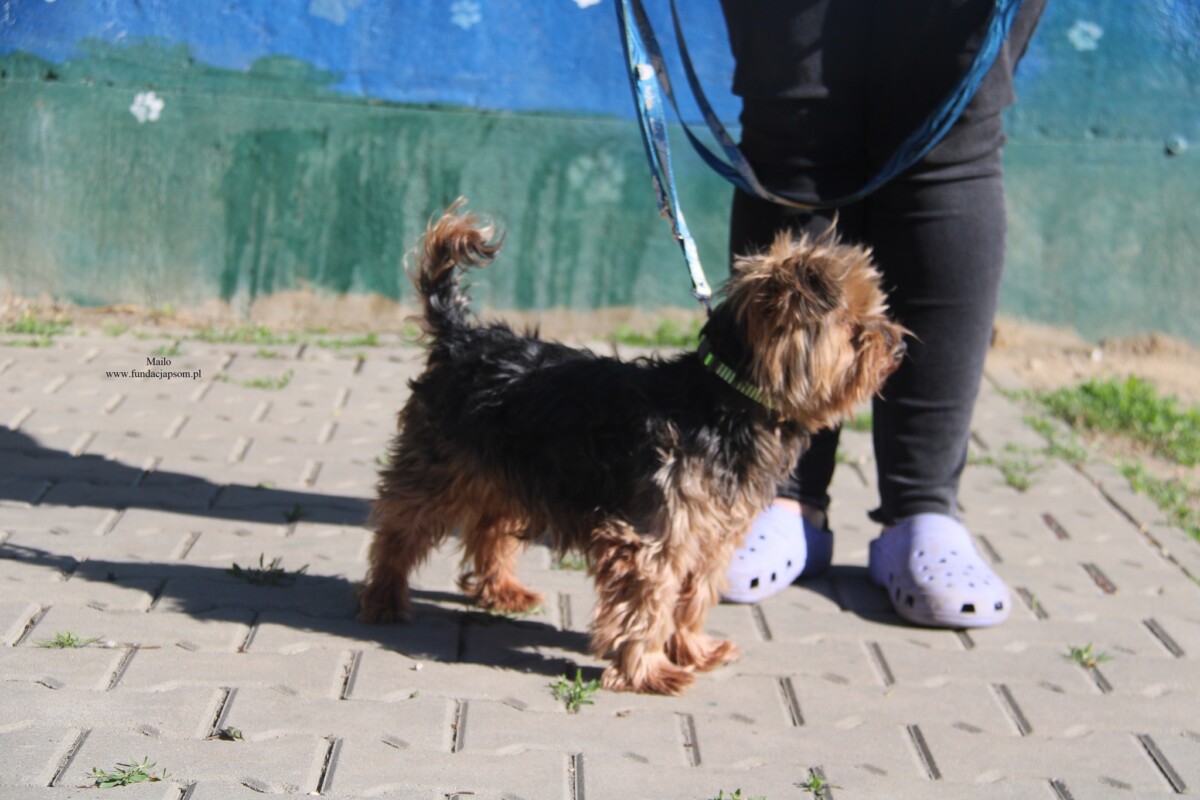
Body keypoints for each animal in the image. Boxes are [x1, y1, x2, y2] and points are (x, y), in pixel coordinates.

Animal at [358, 199, 907, 694]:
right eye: (854, 326)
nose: (898, 345)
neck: (729, 400)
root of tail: (460, 338)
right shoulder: (653, 539)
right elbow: (649, 604)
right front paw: (649, 671)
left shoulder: (711, 538)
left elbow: (694, 598)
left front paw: (693, 650)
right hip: (440, 467)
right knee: (399, 528)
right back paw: (384, 598)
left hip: (507, 471)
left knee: (489, 530)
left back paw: (504, 592)